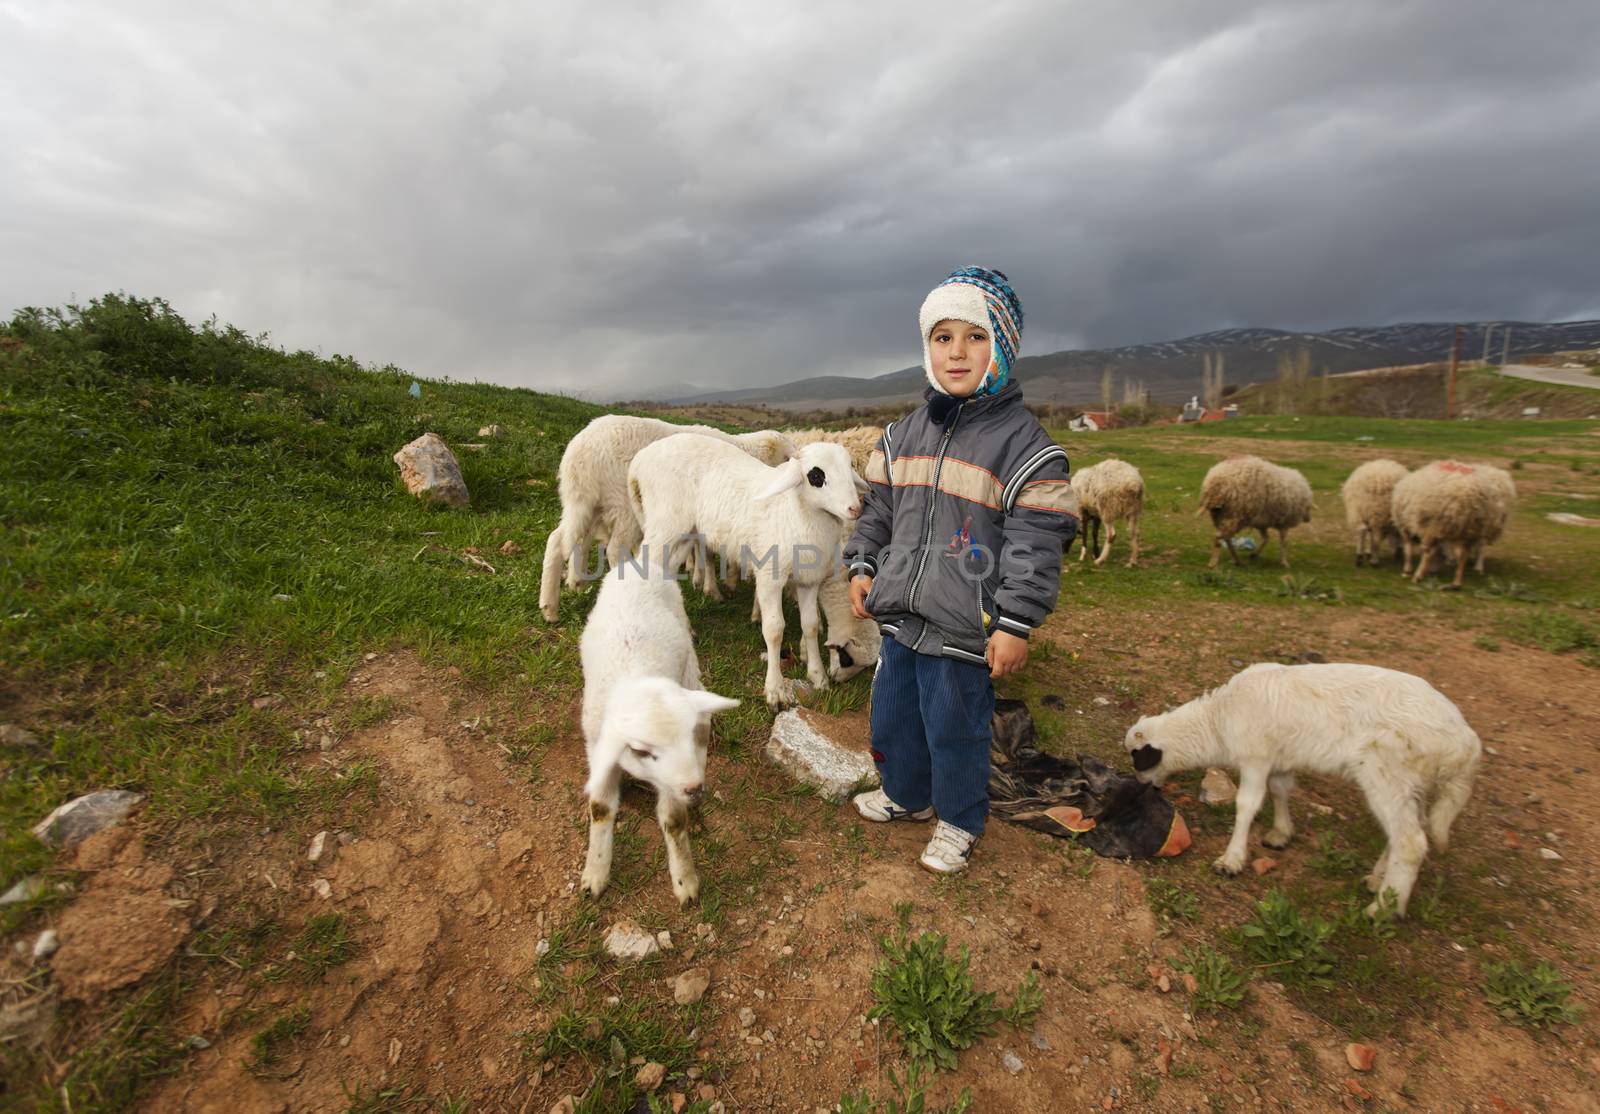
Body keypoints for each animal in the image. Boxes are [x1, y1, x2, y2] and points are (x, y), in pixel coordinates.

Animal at [537, 416, 793, 627]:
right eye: (788, 458)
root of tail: (579, 452)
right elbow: (709, 554)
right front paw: (713, 587)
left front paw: (704, 579)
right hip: (623, 504)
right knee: (613, 549)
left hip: (584, 502)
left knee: (561, 540)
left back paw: (554, 603)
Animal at [579, 566, 739, 902]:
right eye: (643, 751)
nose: (694, 787)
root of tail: (641, 562)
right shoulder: (598, 748)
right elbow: (600, 809)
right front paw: (595, 873)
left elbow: (675, 822)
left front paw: (685, 881)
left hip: (689, 666)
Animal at [630, 432, 870, 704]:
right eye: (815, 476)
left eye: (849, 467)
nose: (855, 508)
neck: (796, 513)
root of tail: (641, 458)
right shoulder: (770, 577)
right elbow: (774, 630)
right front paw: (775, 689)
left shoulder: (808, 580)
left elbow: (810, 625)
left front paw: (817, 676)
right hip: (665, 526)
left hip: (684, 535)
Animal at [1120, 662, 1478, 915]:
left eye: (1138, 757)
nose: (1145, 787)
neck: (1218, 721)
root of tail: (1465, 745)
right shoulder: (1278, 759)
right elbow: (1280, 791)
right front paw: (1280, 833)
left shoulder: (1256, 757)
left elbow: (1247, 805)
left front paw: (1231, 860)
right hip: (1412, 785)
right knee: (1407, 830)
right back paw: (1379, 881)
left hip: (1388, 774)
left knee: (1411, 841)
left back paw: (1383, 909)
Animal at [1395, 457, 1516, 592]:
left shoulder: (1411, 527)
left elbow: (1409, 549)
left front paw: (1408, 570)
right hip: (1466, 528)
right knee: (1464, 553)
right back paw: (1457, 582)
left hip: (1437, 525)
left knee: (1429, 551)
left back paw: (1419, 576)